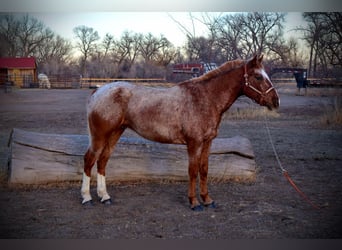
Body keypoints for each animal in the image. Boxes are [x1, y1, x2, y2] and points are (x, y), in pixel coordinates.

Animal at [81, 54, 280, 211]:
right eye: (258, 77)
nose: (275, 101)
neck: (205, 98)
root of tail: (98, 91)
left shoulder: (207, 142)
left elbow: (204, 169)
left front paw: (207, 200)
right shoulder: (194, 143)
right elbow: (192, 171)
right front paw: (194, 202)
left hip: (115, 133)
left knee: (102, 161)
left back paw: (105, 197)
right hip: (100, 136)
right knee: (89, 160)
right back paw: (87, 198)